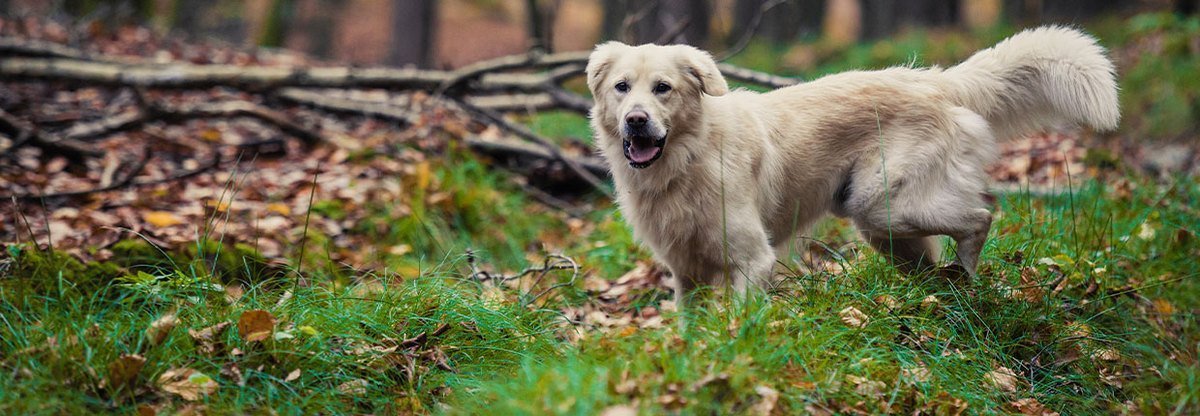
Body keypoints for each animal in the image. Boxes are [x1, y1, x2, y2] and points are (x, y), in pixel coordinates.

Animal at [585, 26, 1118, 306]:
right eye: (621, 88)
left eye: (663, 88)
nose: (636, 121)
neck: (688, 158)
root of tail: (935, 81)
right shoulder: (685, 273)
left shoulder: (753, 260)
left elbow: (739, 320)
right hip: (885, 228)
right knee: (932, 259)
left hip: (884, 206)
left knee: (981, 215)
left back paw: (966, 279)